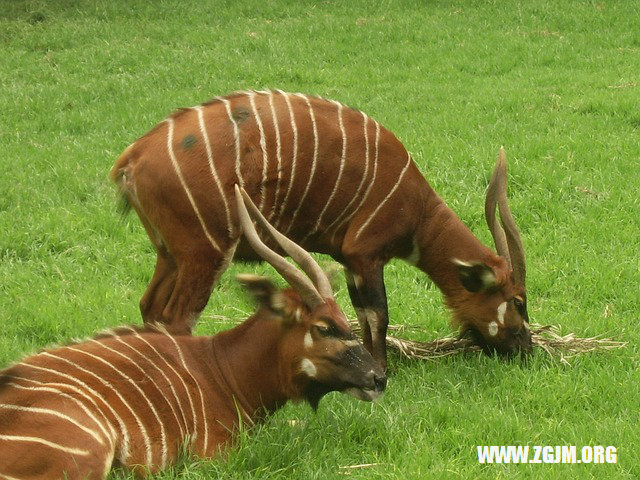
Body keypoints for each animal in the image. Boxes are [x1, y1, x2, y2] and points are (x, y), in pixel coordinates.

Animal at [112, 89, 532, 368]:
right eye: (517, 301)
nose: (527, 349)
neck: (418, 209)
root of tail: (132, 158)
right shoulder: (366, 254)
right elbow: (378, 314)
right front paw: (381, 371)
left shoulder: (348, 261)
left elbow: (362, 315)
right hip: (206, 252)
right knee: (177, 318)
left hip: (170, 255)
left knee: (150, 307)